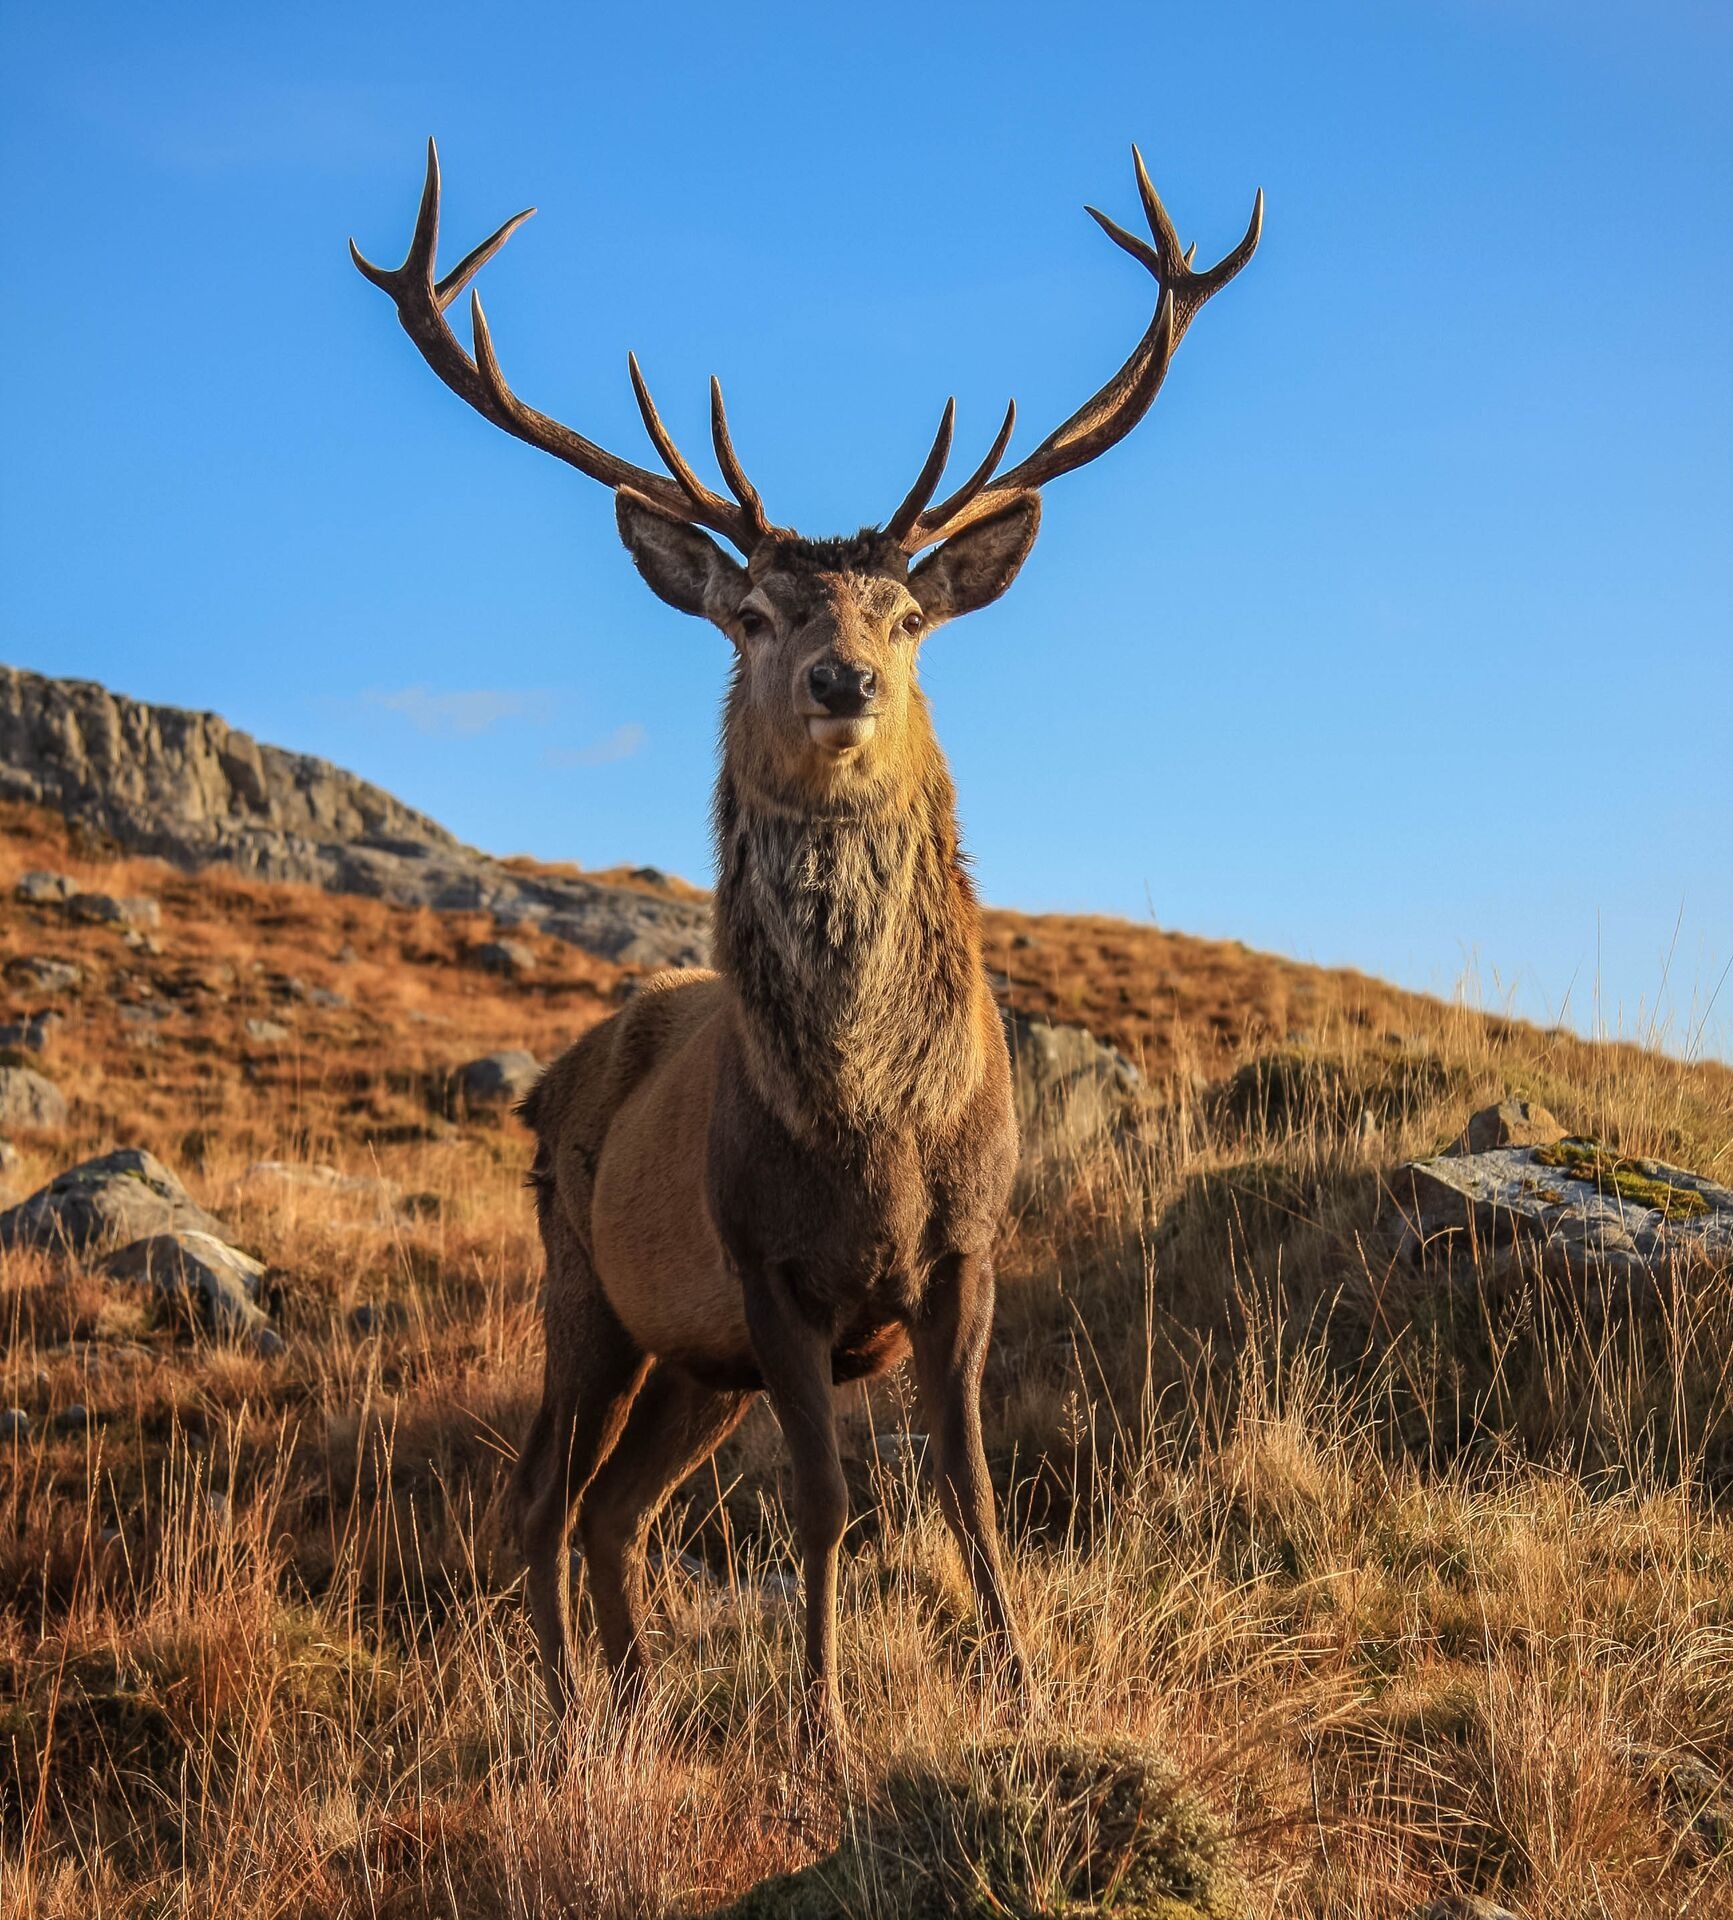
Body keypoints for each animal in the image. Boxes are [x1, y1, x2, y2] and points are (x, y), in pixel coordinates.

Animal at [352, 141, 1260, 1746]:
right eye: (756, 610)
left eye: (905, 612)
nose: (843, 679)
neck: (872, 1132)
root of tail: (559, 1076)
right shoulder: (764, 1263)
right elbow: (830, 1503)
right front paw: (823, 1727)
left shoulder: (970, 1248)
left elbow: (969, 1491)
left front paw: (1022, 1690)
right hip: (586, 1285)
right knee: (539, 1496)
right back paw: (570, 1713)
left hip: (690, 1360)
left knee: (617, 1507)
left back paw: (639, 1694)